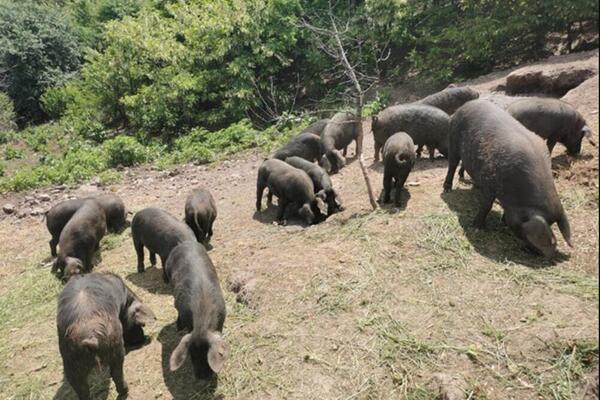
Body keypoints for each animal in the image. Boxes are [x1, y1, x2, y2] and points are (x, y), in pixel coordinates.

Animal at [446, 99, 572, 256]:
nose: (537, 253)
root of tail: (463, 106)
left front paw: (503, 223)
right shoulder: (490, 182)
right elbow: (486, 205)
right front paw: (476, 228)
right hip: (452, 142)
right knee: (452, 165)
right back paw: (447, 190)